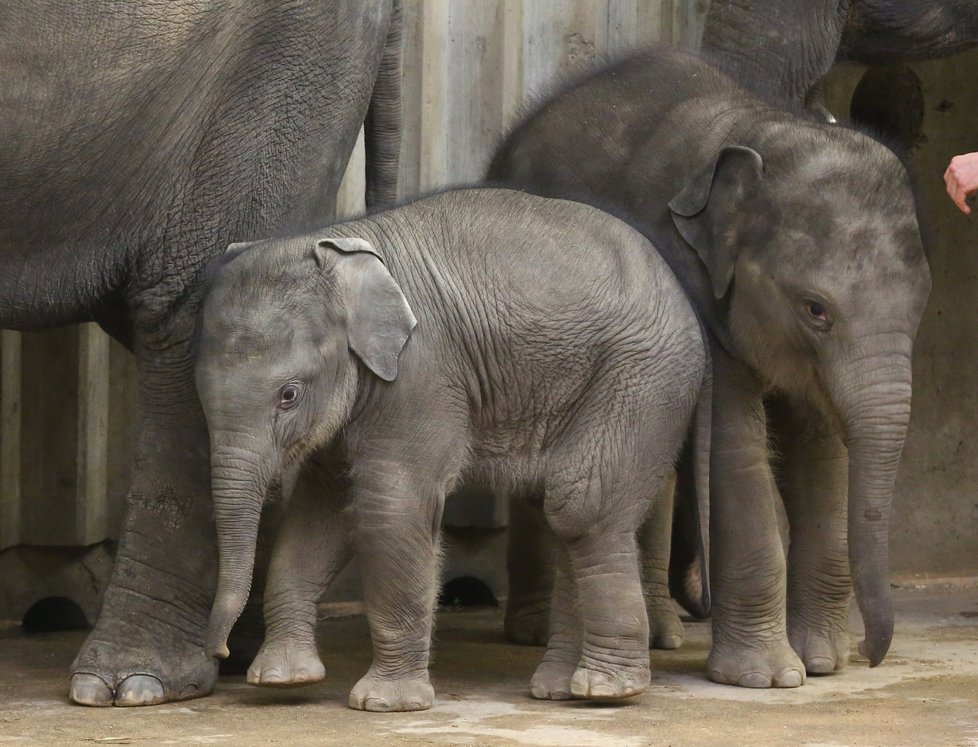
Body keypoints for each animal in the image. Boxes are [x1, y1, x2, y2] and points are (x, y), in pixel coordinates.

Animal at [194, 187, 704, 712]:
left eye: (289, 395)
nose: (220, 651)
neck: (344, 248)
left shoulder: (423, 372)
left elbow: (390, 506)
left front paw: (386, 703)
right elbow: (317, 516)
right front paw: (282, 680)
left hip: (642, 381)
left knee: (581, 507)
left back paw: (607, 689)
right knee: (562, 516)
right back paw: (560, 689)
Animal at [488, 45, 932, 688]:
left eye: (922, 301)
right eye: (816, 309)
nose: (872, 655)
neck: (761, 133)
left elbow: (819, 451)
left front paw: (823, 663)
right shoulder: (692, 285)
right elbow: (733, 448)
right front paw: (769, 678)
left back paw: (662, 633)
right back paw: (533, 631)